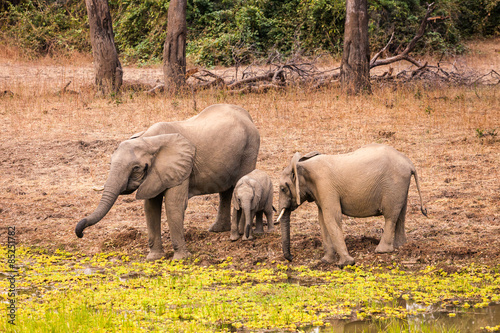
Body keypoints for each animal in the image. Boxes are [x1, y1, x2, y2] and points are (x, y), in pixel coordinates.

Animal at [76, 104, 262, 260]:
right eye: (110, 163)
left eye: (136, 168)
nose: (80, 233)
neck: (148, 140)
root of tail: (247, 115)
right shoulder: (155, 173)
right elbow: (150, 207)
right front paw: (154, 258)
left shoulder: (181, 168)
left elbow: (173, 205)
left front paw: (181, 259)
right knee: (226, 191)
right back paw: (217, 230)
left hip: (250, 148)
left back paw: (240, 235)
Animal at [278, 143, 426, 268]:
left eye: (283, 189)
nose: (291, 258)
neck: (302, 165)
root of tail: (409, 163)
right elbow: (322, 220)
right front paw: (326, 261)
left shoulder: (325, 186)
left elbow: (332, 218)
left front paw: (345, 264)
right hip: (401, 186)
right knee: (401, 213)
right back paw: (400, 245)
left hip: (394, 185)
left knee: (390, 216)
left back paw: (381, 251)